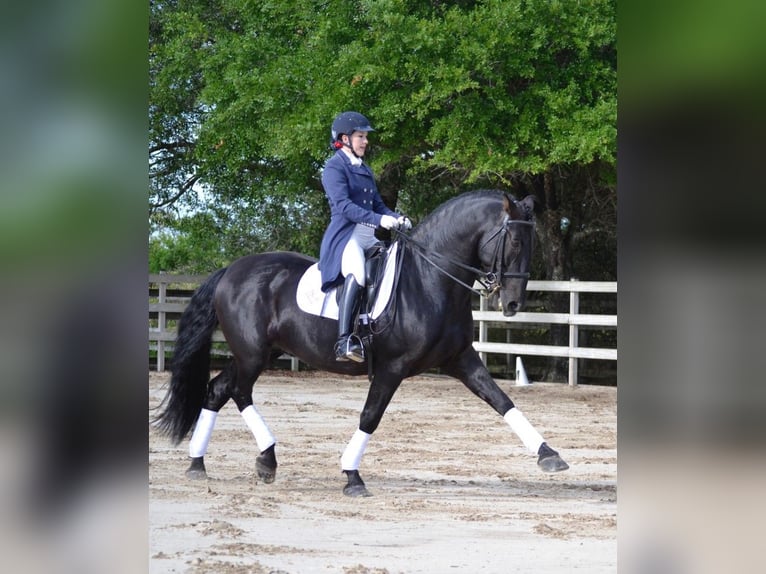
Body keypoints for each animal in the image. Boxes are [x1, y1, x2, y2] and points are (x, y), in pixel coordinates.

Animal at [154, 189, 569, 497]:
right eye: (513, 241)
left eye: (531, 243)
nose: (513, 304)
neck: (429, 280)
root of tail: (231, 269)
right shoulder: (391, 368)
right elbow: (370, 416)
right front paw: (352, 476)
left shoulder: (460, 360)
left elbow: (502, 401)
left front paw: (549, 455)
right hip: (253, 354)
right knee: (239, 392)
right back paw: (266, 459)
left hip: (258, 352)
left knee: (218, 390)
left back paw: (199, 463)